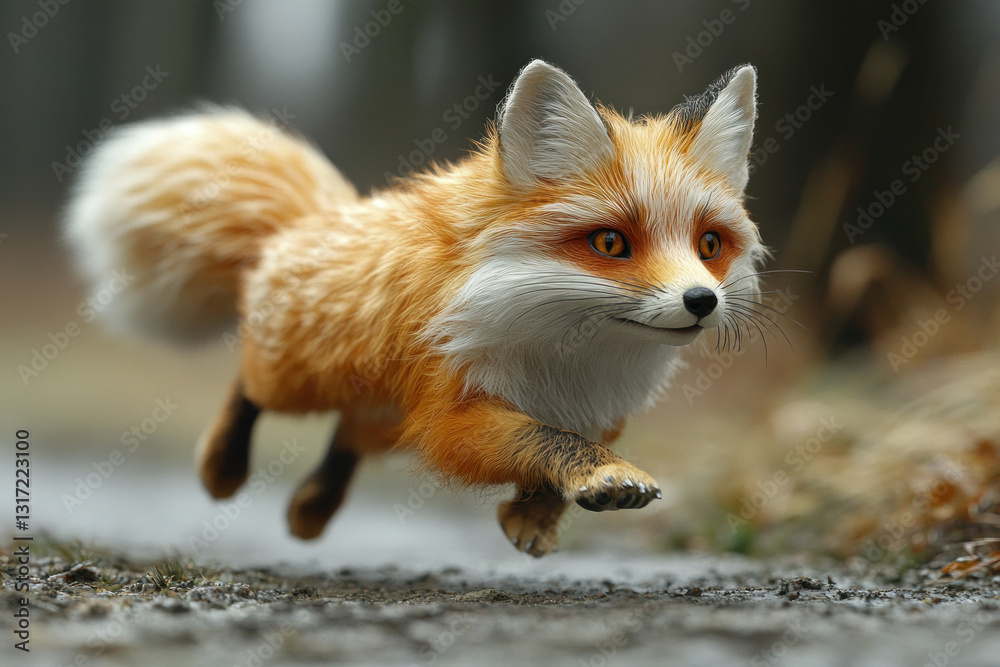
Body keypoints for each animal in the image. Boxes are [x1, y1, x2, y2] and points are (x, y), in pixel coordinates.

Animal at [63, 60, 767, 557]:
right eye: (611, 243)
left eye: (709, 245)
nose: (701, 301)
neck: (567, 356)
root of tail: (319, 217)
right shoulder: (452, 412)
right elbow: (545, 441)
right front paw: (593, 483)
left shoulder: (599, 411)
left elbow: (556, 462)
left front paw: (531, 517)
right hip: (297, 380)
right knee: (249, 387)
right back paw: (223, 469)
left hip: (380, 412)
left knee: (346, 439)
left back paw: (312, 508)